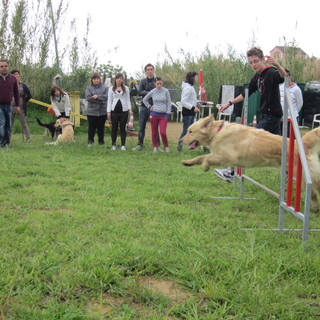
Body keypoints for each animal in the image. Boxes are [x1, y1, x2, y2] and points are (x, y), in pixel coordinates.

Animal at [181, 115, 320, 212]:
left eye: (190, 131)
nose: (181, 140)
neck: (217, 132)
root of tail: (302, 143)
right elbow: (201, 156)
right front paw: (188, 162)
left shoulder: (228, 156)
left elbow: (207, 157)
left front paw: (205, 166)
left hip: (303, 176)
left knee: (313, 192)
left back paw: (314, 209)